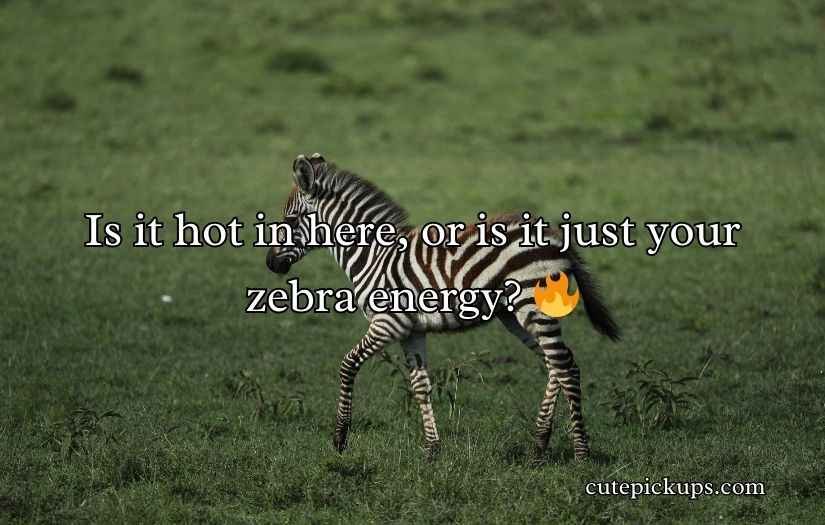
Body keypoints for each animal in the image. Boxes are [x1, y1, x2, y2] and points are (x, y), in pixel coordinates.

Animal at [266, 153, 620, 460]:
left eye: (290, 220)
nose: (270, 263)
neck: (373, 254)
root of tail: (555, 235)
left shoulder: (387, 323)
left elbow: (347, 364)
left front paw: (340, 438)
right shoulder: (410, 330)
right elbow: (420, 386)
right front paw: (432, 449)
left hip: (532, 305)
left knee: (565, 366)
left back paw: (581, 453)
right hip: (516, 316)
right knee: (555, 364)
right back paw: (539, 445)